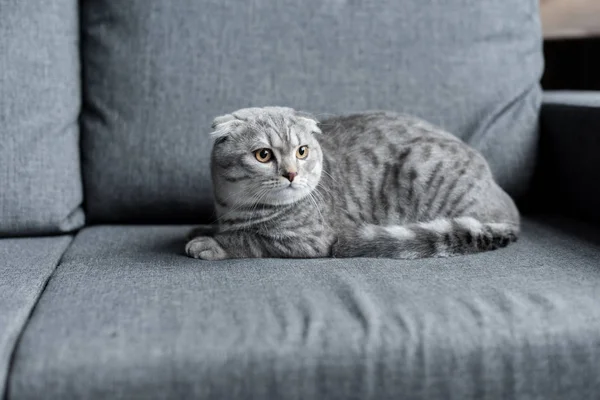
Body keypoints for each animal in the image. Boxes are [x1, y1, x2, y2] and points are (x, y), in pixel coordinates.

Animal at [185, 106, 516, 260]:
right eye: (263, 155)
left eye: (301, 151)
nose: (291, 173)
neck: (238, 209)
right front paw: (203, 230)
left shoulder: (309, 239)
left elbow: (251, 240)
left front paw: (212, 243)